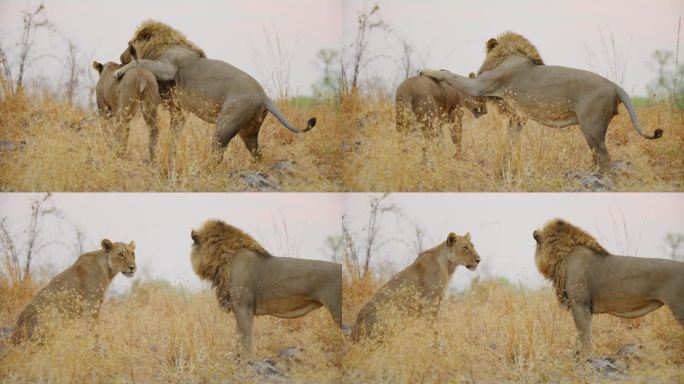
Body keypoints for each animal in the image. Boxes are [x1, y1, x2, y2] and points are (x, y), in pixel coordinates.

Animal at [114, 21, 316, 162]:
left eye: (129, 44)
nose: (120, 56)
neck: (163, 44)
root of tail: (265, 96)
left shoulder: (167, 67)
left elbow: (141, 61)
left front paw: (119, 72)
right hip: (248, 130)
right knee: (257, 153)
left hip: (226, 122)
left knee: (217, 153)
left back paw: (205, 168)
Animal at [190, 219, 342, 356]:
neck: (224, 259)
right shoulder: (239, 308)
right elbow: (239, 335)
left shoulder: (243, 307)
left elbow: (245, 337)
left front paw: (245, 359)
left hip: (336, 307)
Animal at [352, 232, 480, 340]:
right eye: (465, 248)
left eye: (472, 246)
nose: (479, 260)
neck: (449, 266)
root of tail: (354, 331)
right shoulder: (430, 302)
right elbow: (432, 325)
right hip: (390, 311)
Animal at [422, 32, 664, 170]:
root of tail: (615, 86)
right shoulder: (517, 118)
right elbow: (511, 141)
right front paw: (506, 166)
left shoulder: (480, 85)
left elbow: (452, 75)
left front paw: (428, 70)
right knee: (599, 155)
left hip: (591, 126)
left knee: (604, 156)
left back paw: (595, 177)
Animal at [536, 219, 684, 356]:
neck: (565, 255)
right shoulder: (584, 307)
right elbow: (583, 334)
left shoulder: (580, 305)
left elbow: (584, 335)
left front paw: (584, 357)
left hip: (679, 307)